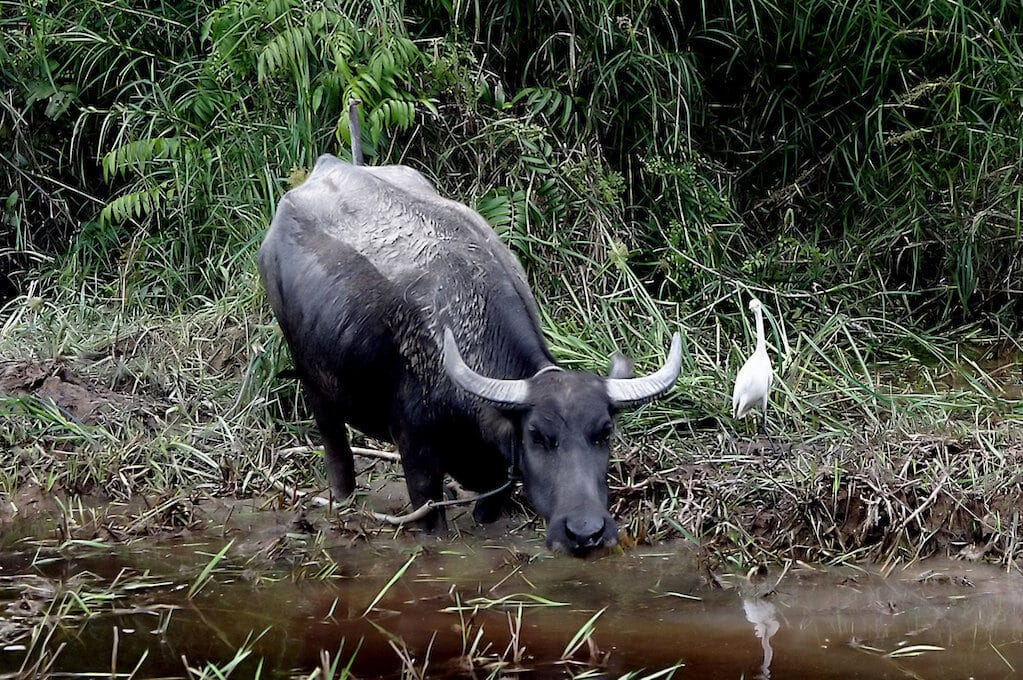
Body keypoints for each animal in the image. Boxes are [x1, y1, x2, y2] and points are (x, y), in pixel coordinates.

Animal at [259, 155, 683, 556]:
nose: (585, 532)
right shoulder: (416, 452)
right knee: (334, 444)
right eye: (537, 435)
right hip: (312, 380)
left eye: (604, 432)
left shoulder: (499, 475)